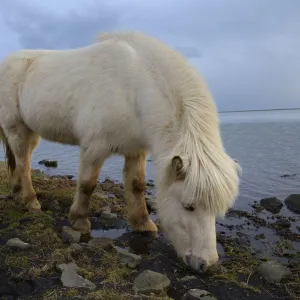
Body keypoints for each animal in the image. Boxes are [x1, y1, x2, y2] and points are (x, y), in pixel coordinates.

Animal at [0, 31, 240, 274]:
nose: (205, 264)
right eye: (188, 206)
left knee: (22, 161)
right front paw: (79, 221)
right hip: (16, 128)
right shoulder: (94, 147)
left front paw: (143, 224)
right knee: (23, 163)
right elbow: (87, 184)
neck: (132, 89)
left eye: (217, 210)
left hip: (30, 132)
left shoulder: (136, 150)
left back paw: (18, 193)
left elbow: (137, 186)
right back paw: (31, 202)